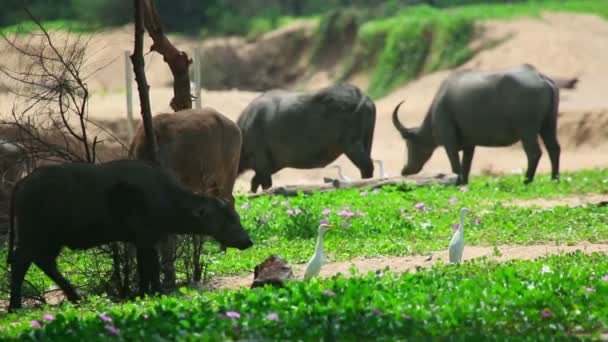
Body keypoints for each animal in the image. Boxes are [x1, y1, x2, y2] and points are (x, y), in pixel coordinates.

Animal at [5, 159, 252, 312]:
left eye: (236, 216)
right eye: (226, 219)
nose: (247, 240)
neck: (164, 197)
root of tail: (23, 183)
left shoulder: (146, 240)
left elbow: (146, 267)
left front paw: (145, 292)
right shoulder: (144, 238)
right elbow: (150, 267)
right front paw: (155, 291)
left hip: (52, 240)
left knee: (45, 262)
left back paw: (75, 296)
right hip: (33, 235)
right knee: (20, 263)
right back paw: (15, 305)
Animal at [130, 107, 242, 288]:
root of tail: (232, 124)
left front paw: (169, 276)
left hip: (226, 177)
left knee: (230, 201)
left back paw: (223, 248)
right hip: (211, 184)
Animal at [236, 82, 376, 192]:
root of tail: (363, 97)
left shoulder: (261, 163)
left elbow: (264, 185)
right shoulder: (269, 167)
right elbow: (255, 182)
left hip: (352, 144)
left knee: (367, 165)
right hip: (367, 141)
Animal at [390, 63, 560, 184]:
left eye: (409, 144)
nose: (405, 170)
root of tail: (540, 77)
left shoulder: (449, 141)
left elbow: (455, 164)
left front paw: (457, 182)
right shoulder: (469, 145)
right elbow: (466, 165)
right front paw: (463, 183)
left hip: (527, 131)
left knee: (534, 153)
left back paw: (527, 180)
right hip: (548, 125)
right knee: (554, 148)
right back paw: (554, 178)